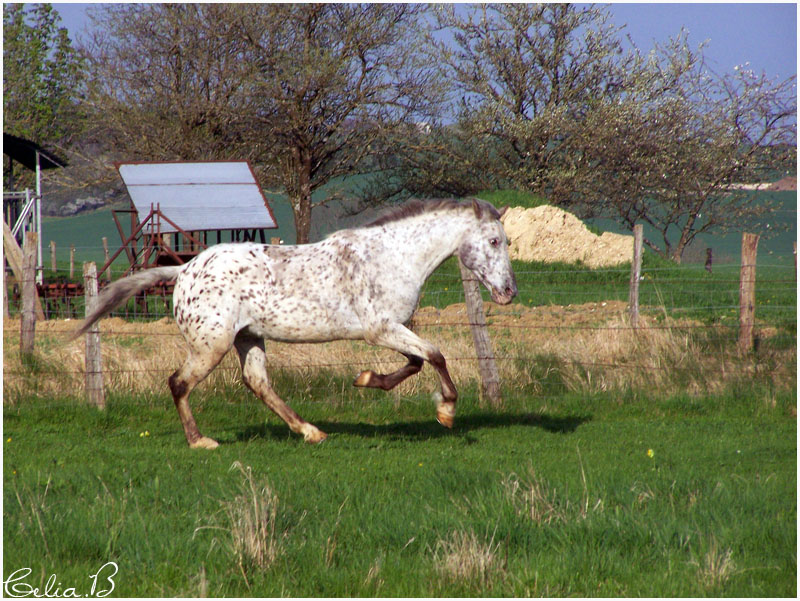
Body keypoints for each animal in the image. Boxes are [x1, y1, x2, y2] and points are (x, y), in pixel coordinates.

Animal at [75, 199, 520, 448]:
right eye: (494, 241)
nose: (509, 292)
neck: (391, 256)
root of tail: (184, 270)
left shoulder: (393, 328)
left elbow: (415, 362)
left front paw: (366, 379)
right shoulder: (381, 329)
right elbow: (435, 355)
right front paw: (446, 411)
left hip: (248, 339)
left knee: (258, 383)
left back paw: (311, 432)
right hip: (211, 345)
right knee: (179, 383)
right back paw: (201, 441)